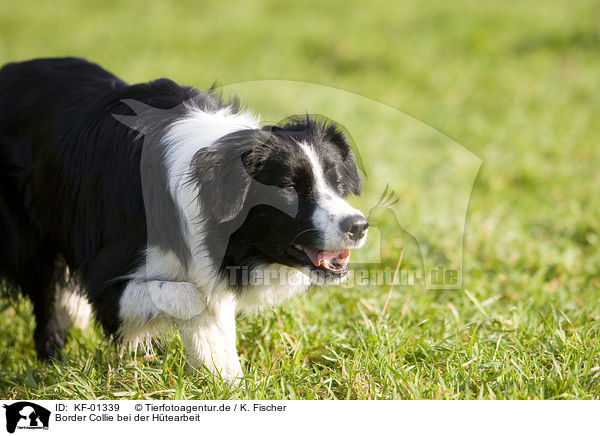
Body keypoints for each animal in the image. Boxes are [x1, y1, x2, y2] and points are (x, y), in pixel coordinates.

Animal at [0, 58, 368, 382]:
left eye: (337, 183)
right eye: (290, 189)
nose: (359, 227)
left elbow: (214, 303)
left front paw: (229, 378)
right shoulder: (109, 272)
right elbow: (190, 297)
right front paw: (213, 364)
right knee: (43, 286)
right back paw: (51, 360)